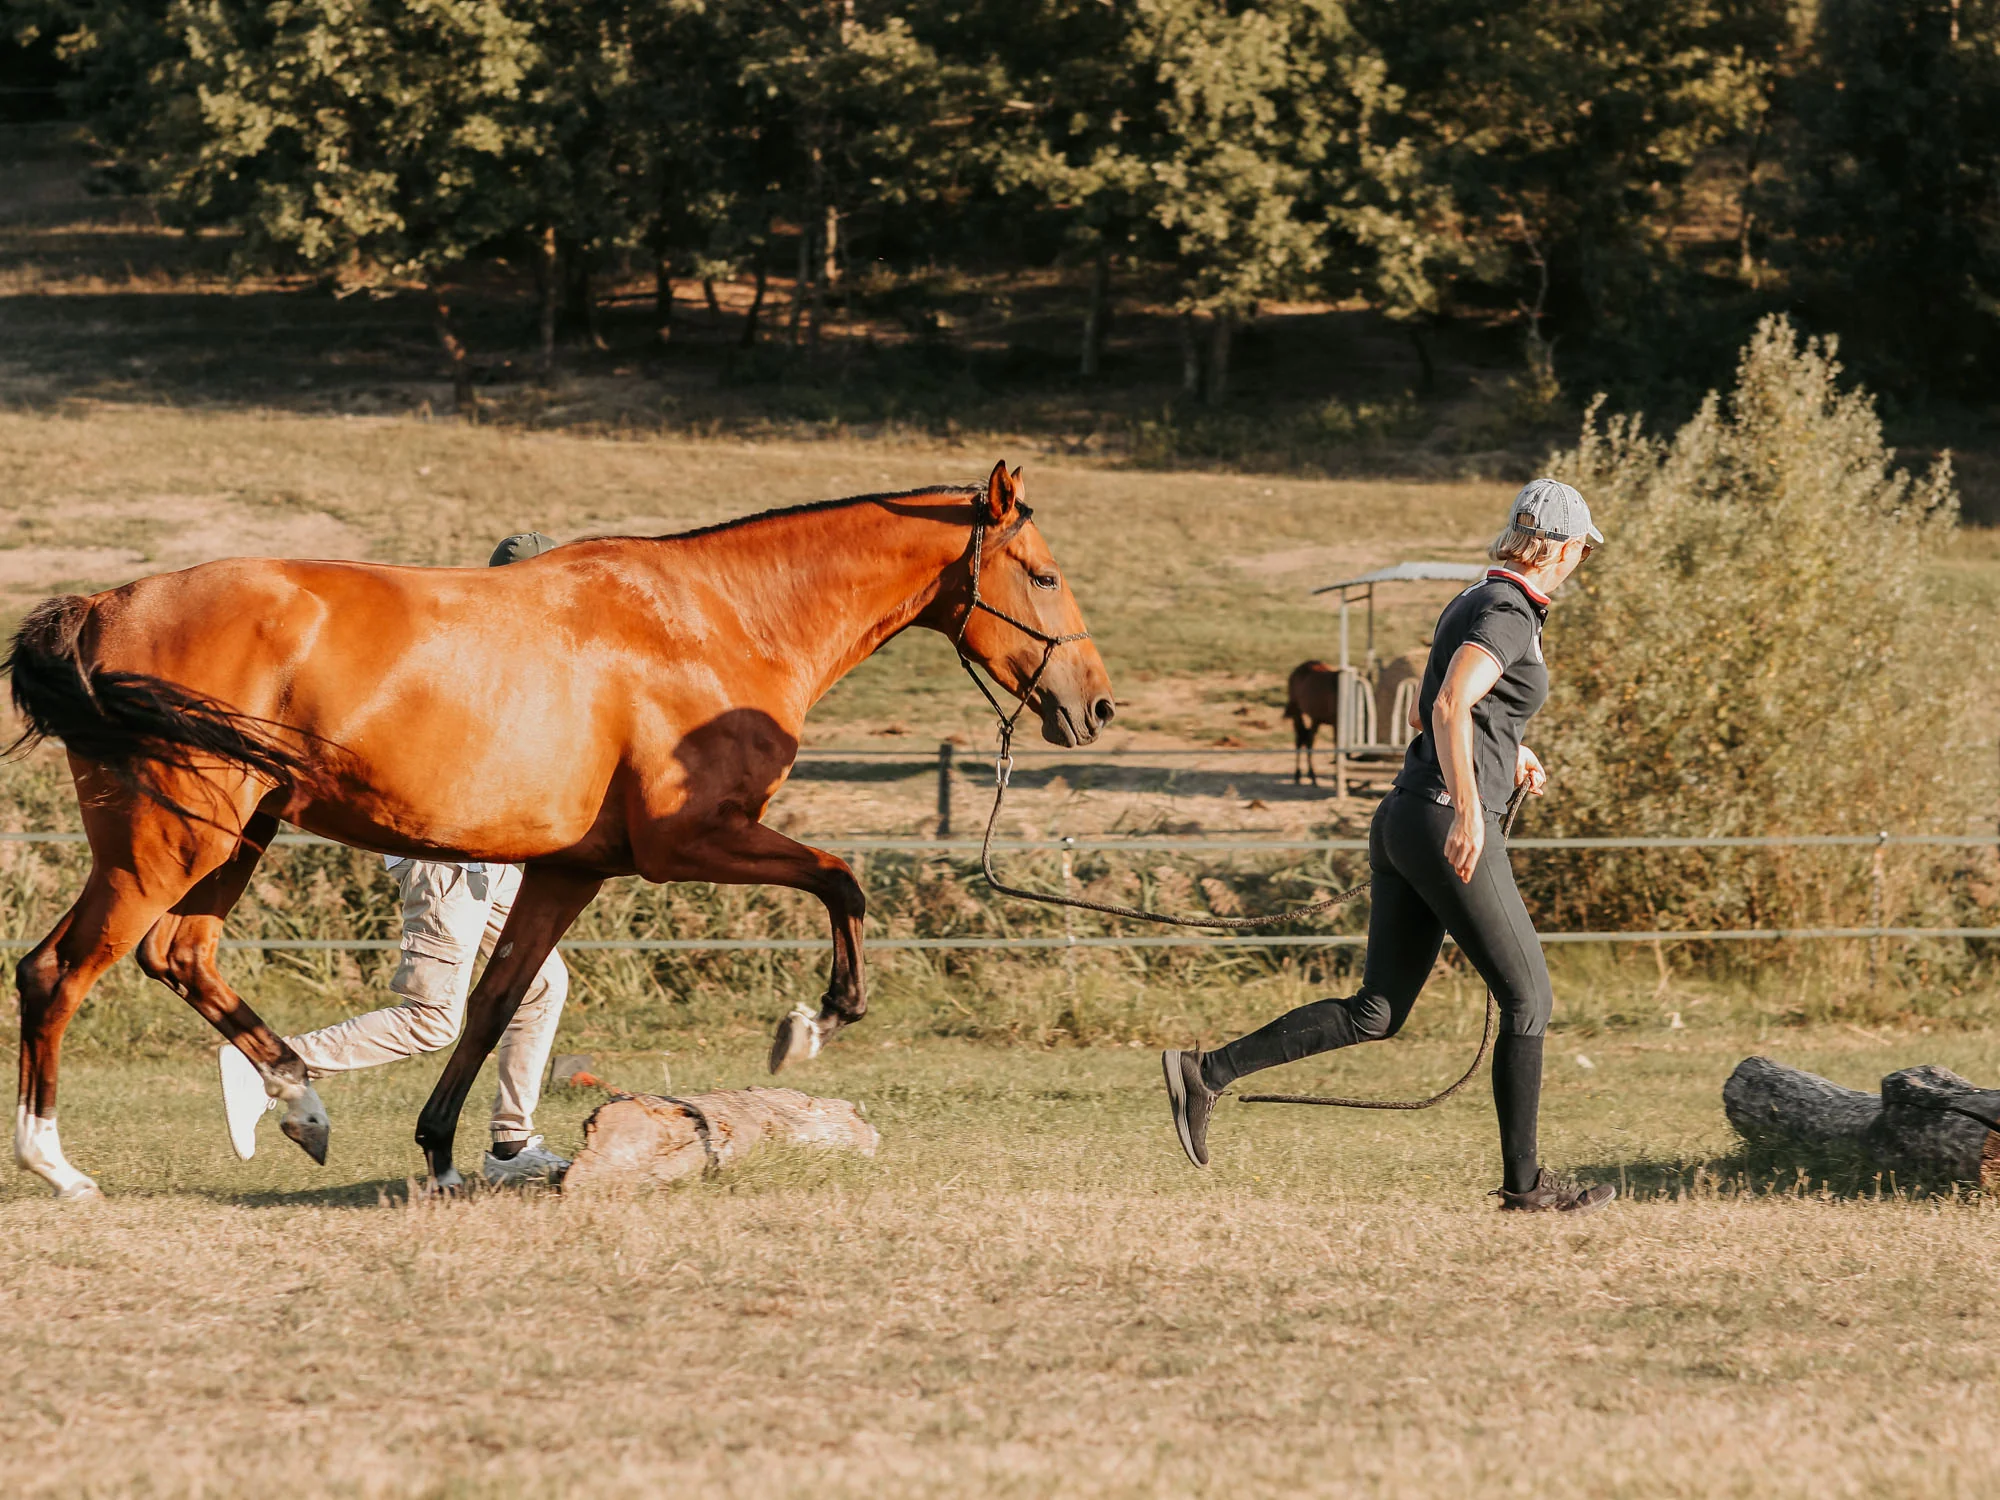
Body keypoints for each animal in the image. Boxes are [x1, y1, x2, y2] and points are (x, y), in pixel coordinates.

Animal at [5, 461, 1113, 1196]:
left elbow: (496, 1003)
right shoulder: (687, 843)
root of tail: (103, 607)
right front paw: (813, 1023)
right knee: (58, 970)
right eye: (1044, 575)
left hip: (234, 836)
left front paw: (447, 1156)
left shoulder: (568, 871)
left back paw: (299, 1105)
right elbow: (842, 877)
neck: (723, 620)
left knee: (178, 955)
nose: (1094, 706)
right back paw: (58, 1167)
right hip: (170, 842)